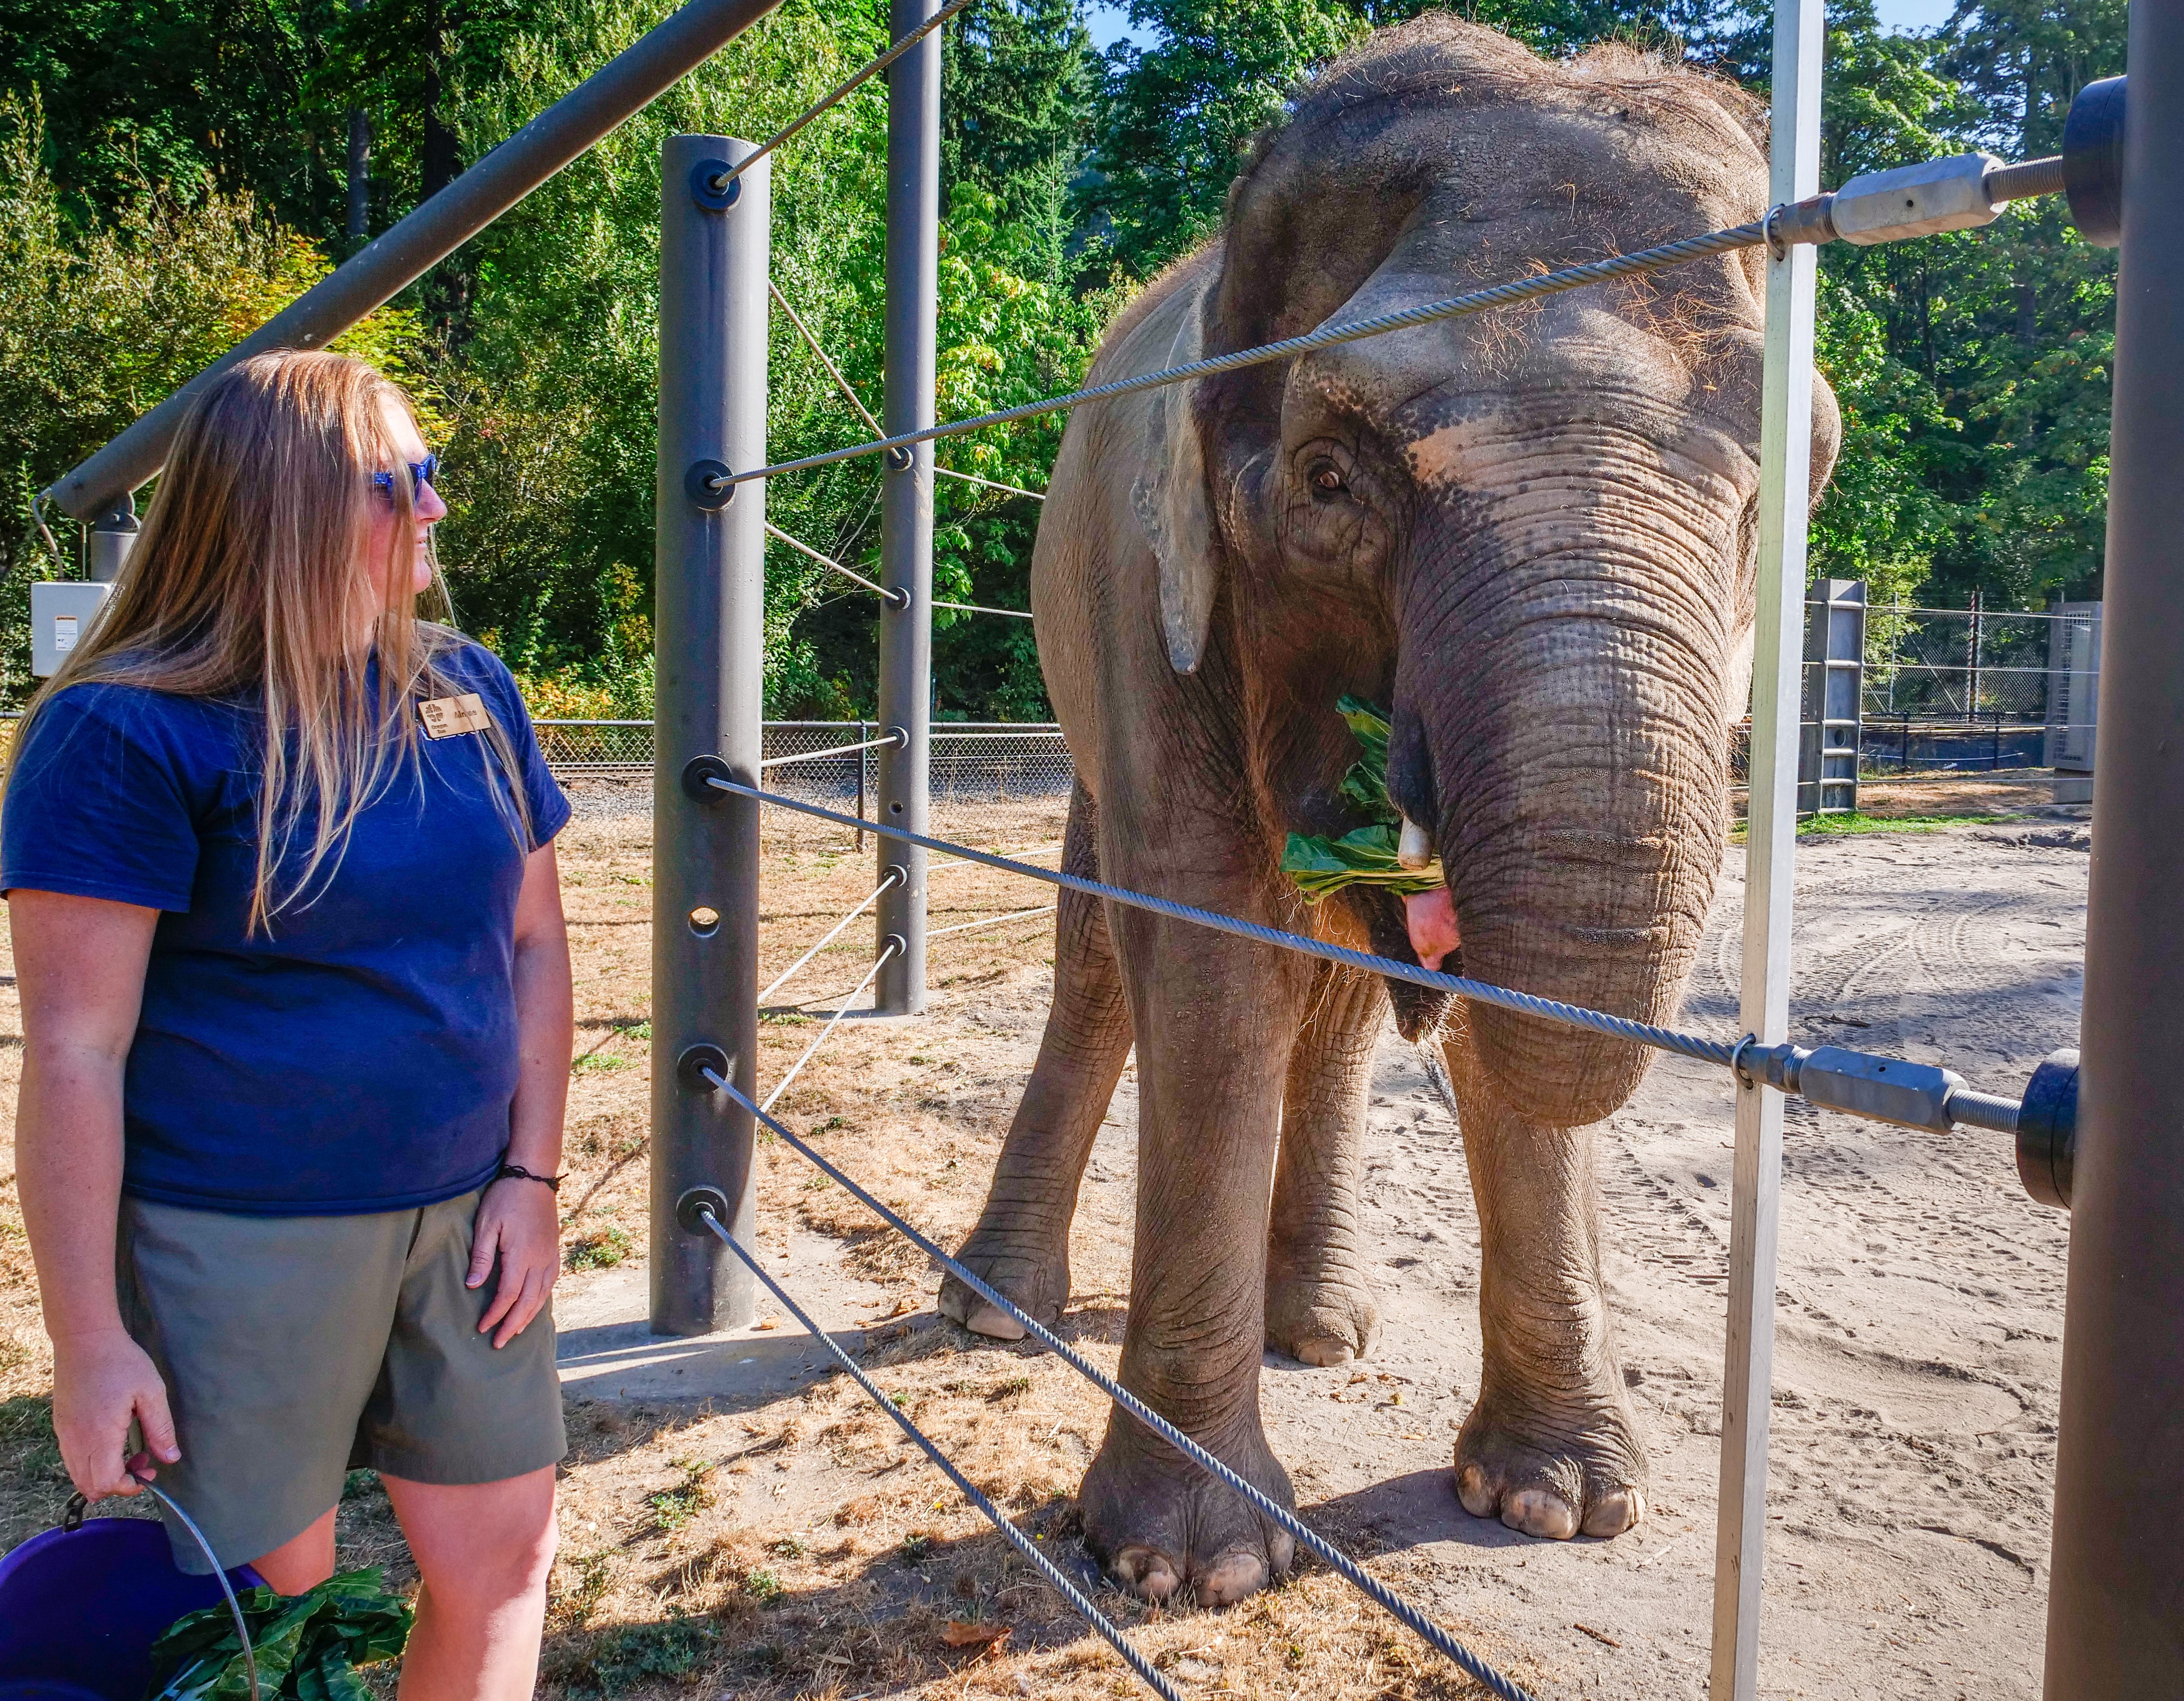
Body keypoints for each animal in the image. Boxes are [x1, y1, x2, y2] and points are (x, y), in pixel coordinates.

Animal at [930, 16, 1834, 1607]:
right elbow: (1208, 970)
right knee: (1103, 958)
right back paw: (995, 1309)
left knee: (1337, 990)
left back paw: (1321, 1326)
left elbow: (1475, 1001)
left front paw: (1561, 1505)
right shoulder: (1151, 598)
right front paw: (1186, 1567)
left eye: (1782, 496)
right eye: (1328, 476)